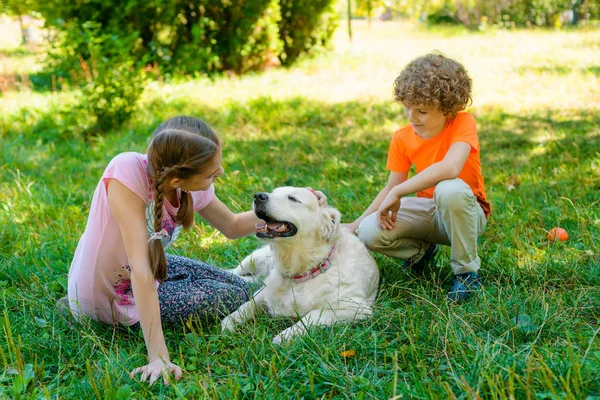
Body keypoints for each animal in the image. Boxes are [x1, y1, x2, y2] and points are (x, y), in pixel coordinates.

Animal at [220, 187, 380, 344]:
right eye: (273, 192)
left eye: (293, 198)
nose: (258, 196)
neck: (302, 270)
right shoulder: (264, 292)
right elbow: (247, 305)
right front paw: (229, 322)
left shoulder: (355, 308)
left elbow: (312, 315)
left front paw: (284, 336)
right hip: (253, 259)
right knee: (235, 272)